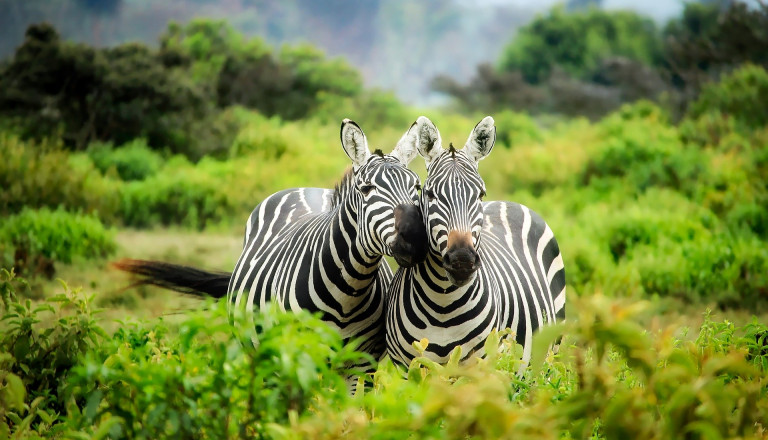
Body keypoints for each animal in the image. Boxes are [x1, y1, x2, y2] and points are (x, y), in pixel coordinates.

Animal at [115, 118, 429, 366]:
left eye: (416, 186)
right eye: (366, 189)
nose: (415, 239)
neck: (348, 291)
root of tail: (305, 188)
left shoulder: (361, 364)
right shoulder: (297, 355)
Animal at [385, 116, 566, 369]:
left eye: (480, 194)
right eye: (429, 194)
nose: (462, 260)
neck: (442, 304)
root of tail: (508, 202)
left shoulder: (480, 366)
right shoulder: (407, 368)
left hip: (550, 353)